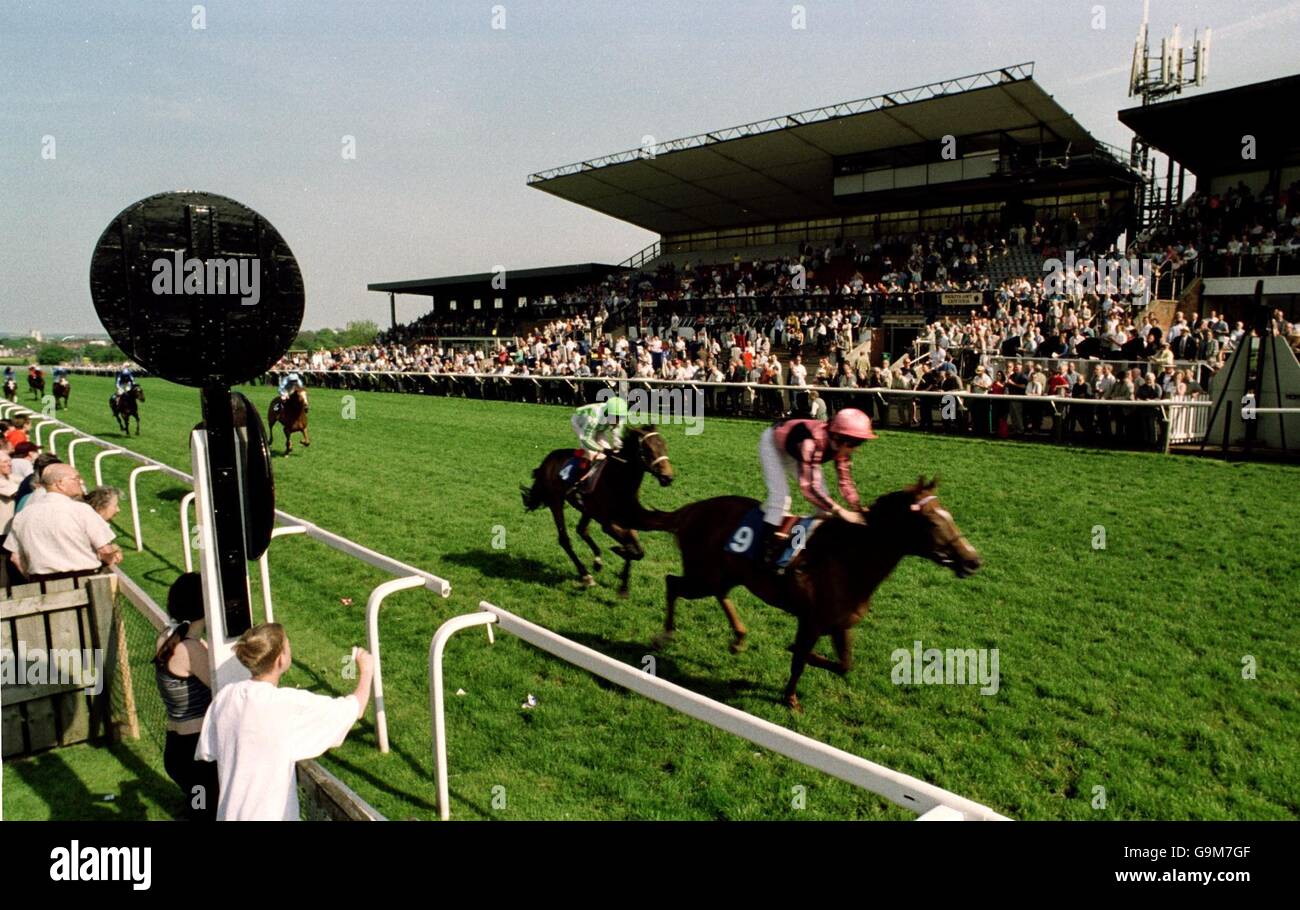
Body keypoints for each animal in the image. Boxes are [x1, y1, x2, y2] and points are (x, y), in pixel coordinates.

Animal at [522, 426, 676, 598]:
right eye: (648, 450)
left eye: (665, 446)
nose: (668, 477)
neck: (619, 481)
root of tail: (548, 459)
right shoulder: (608, 524)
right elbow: (632, 549)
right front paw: (618, 551)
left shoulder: (627, 521)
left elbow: (637, 549)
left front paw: (624, 586)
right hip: (556, 501)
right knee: (565, 539)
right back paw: (586, 575)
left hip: (587, 509)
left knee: (582, 530)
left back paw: (597, 561)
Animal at [639, 475, 982, 712]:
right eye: (932, 521)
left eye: (948, 515)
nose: (972, 560)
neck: (849, 557)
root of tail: (692, 510)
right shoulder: (811, 621)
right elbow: (800, 660)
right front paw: (790, 697)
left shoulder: (841, 623)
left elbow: (844, 665)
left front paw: (803, 660)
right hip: (703, 576)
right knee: (672, 583)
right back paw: (664, 635)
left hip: (721, 575)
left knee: (717, 593)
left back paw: (738, 636)